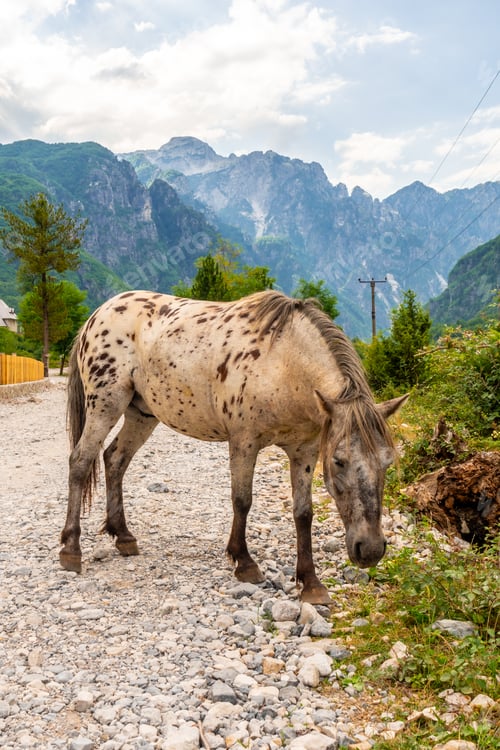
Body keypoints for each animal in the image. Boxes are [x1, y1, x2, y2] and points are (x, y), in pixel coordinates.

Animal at [60, 289, 407, 604]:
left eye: (387, 462)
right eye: (338, 461)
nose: (370, 549)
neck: (283, 363)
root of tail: (98, 314)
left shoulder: (304, 451)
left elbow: (303, 513)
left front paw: (310, 582)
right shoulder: (244, 442)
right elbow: (242, 500)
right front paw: (244, 562)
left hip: (141, 413)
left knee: (114, 459)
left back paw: (123, 536)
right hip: (105, 405)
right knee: (80, 461)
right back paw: (71, 550)